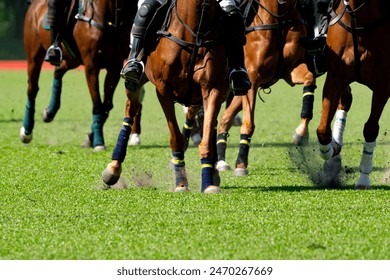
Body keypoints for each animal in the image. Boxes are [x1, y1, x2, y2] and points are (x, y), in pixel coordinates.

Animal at [20, 0, 139, 151]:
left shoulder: (115, 66)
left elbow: (106, 106)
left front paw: (90, 138)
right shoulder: (91, 67)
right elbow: (97, 105)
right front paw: (98, 142)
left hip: (71, 59)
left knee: (58, 72)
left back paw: (50, 112)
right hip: (34, 56)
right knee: (32, 89)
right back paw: (26, 131)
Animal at [102, 0, 230, 192]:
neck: (194, 34)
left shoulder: (212, 90)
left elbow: (206, 139)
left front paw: (208, 183)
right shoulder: (163, 90)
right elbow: (175, 137)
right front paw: (181, 183)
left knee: (208, 123)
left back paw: (214, 174)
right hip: (136, 80)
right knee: (130, 110)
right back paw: (113, 168)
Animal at [215, 0, 318, 175]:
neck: (279, 18)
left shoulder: (291, 70)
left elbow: (309, 80)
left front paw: (301, 133)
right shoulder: (252, 77)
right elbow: (249, 124)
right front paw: (241, 164)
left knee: (225, 118)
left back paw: (221, 161)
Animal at [318, 0, 388, 189]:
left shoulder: (383, 84)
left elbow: (370, 128)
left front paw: (363, 178)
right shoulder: (335, 77)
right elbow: (323, 130)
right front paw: (332, 152)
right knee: (346, 100)